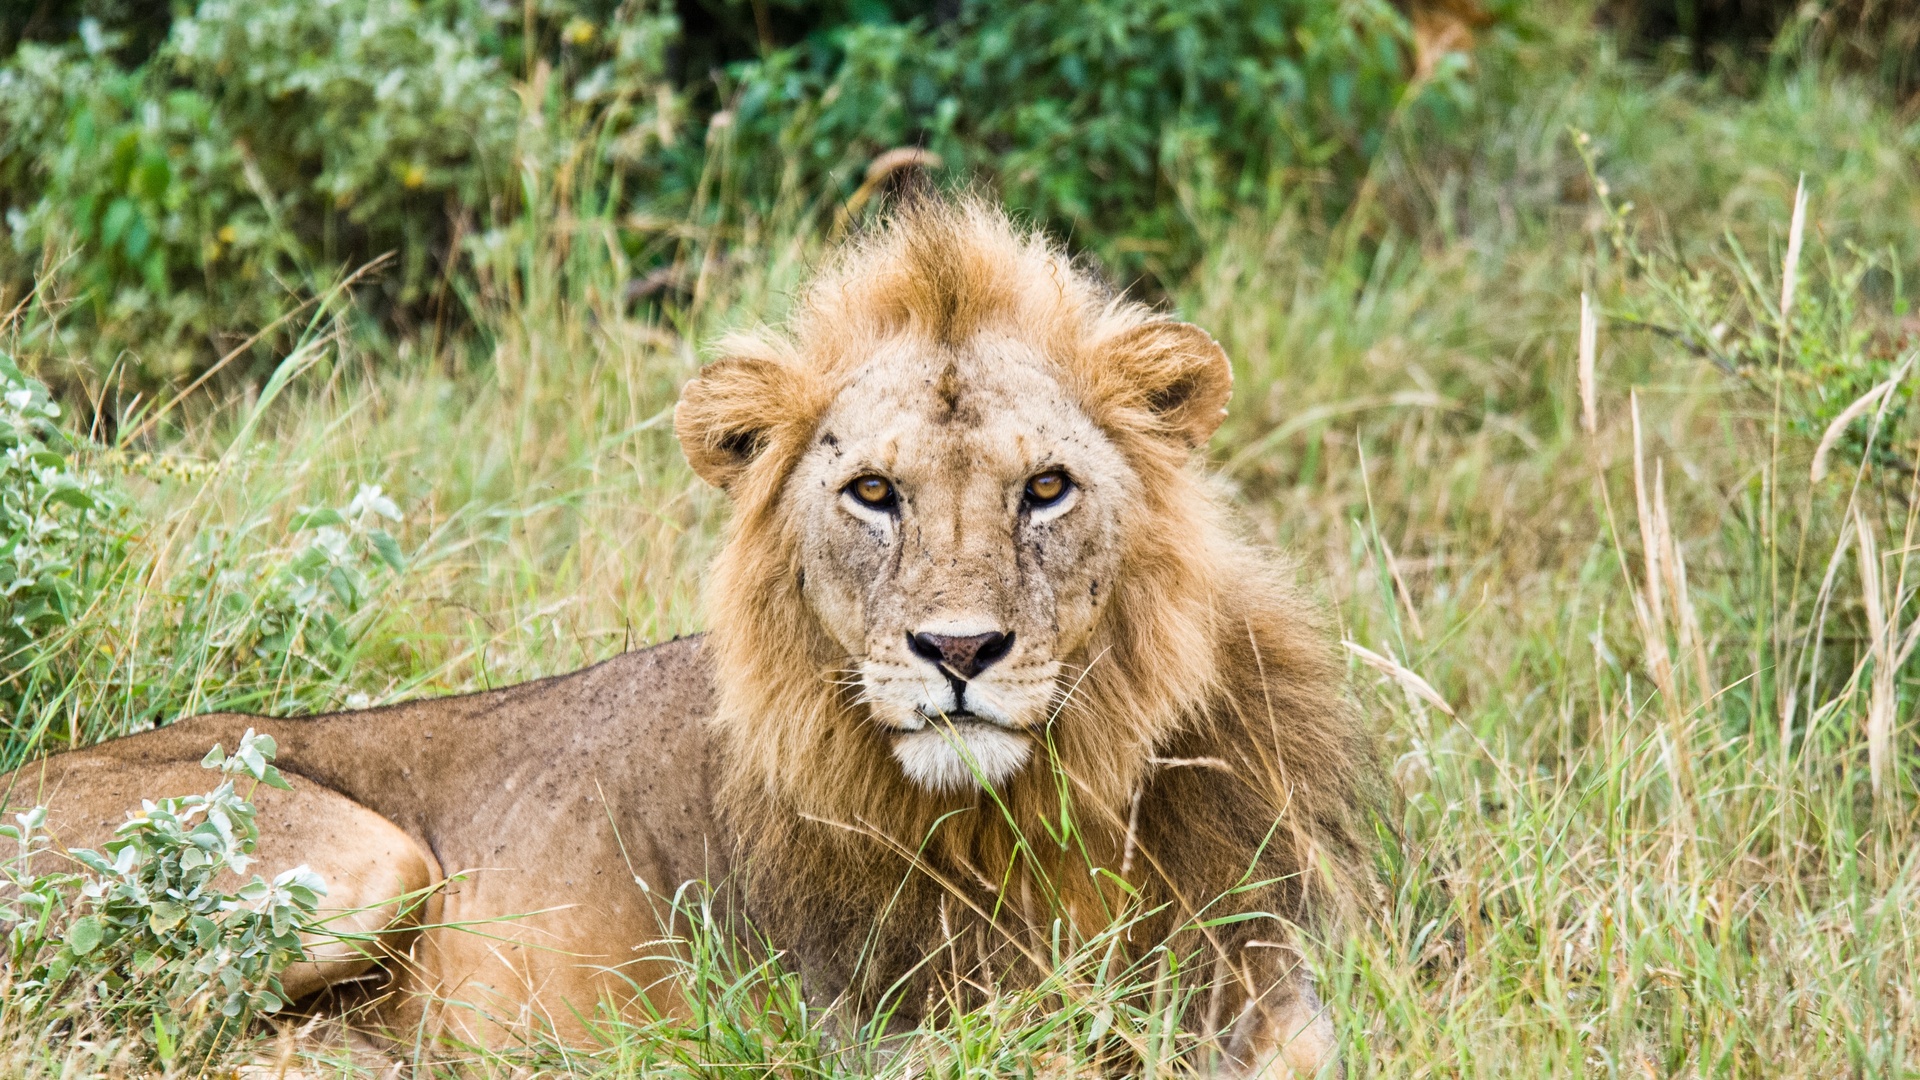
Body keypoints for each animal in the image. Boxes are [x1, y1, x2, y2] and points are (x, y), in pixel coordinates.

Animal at [0, 197, 1382, 1068]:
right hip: (366, 858)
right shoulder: (875, 1029)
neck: (1034, 816)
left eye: (1046, 489)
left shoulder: (1277, 983)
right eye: (872, 493)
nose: (958, 655)